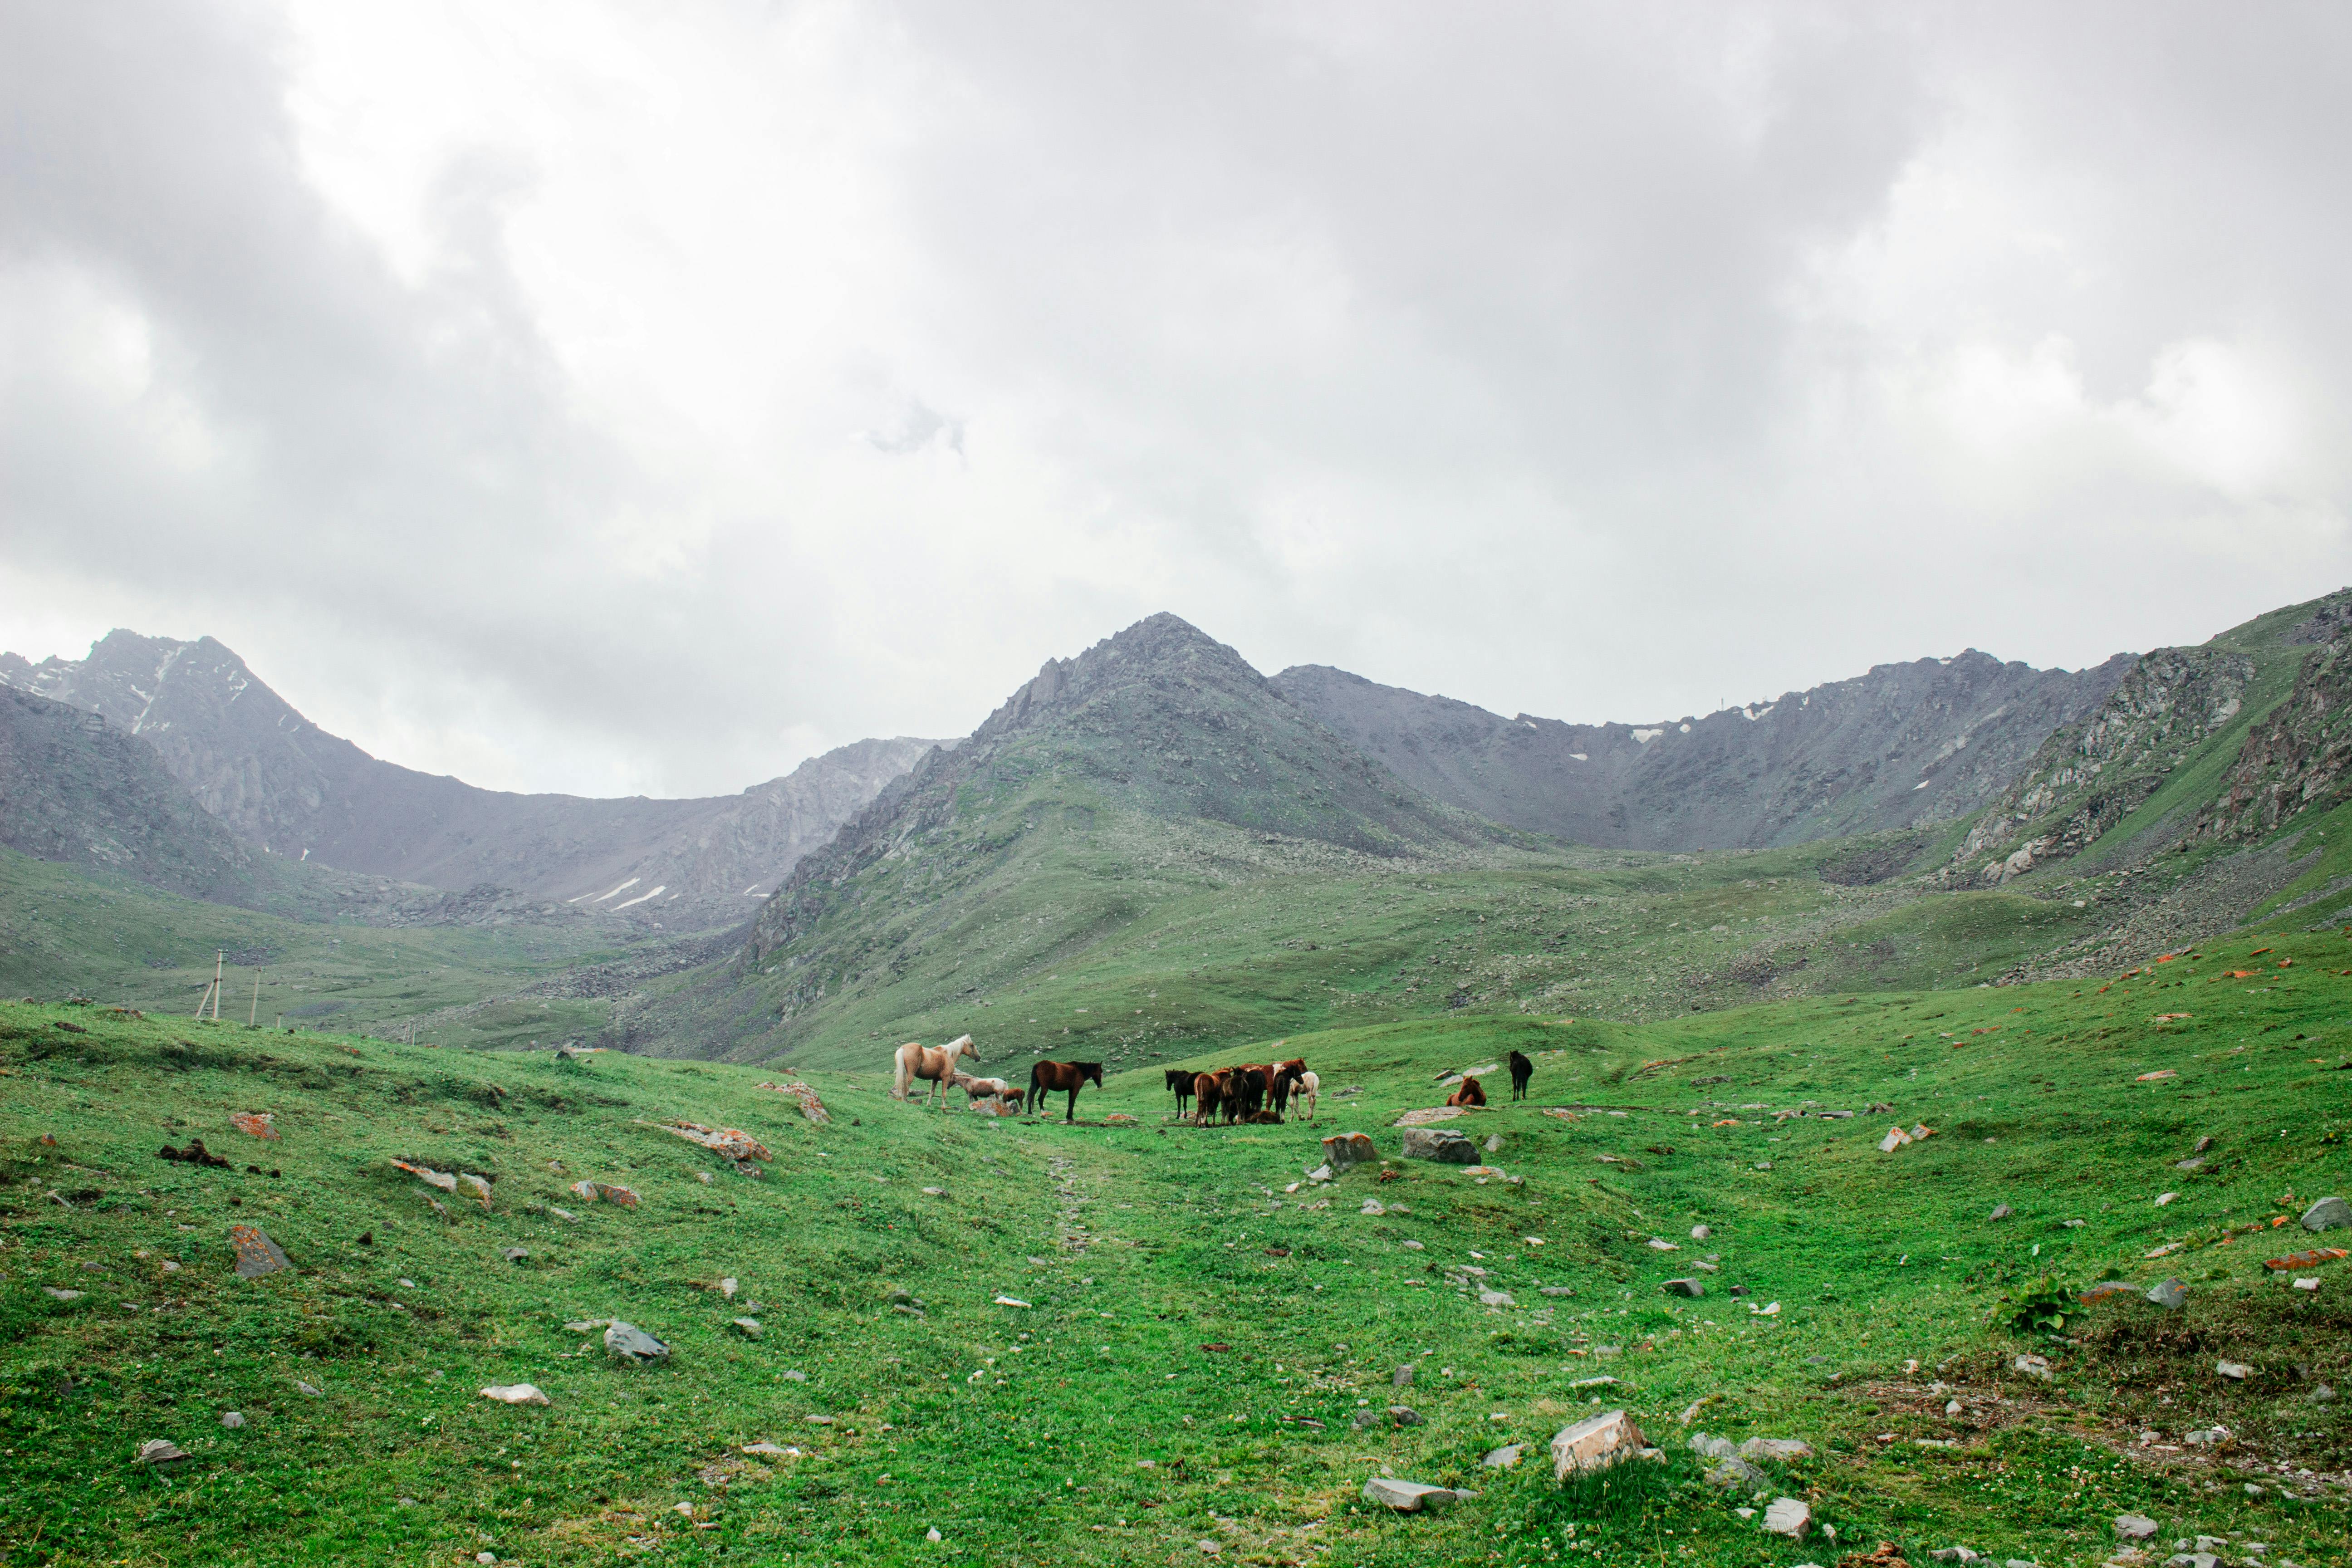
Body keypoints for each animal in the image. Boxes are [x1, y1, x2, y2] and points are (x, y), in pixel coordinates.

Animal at [893, 1035, 979, 1108]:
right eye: (972, 1045)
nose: (979, 1058)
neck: (949, 1055)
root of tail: (903, 1048)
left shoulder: (935, 1079)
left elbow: (932, 1093)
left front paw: (929, 1105)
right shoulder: (946, 1078)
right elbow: (944, 1094)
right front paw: (944, 1107)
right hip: (911, 1075)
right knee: (906, 1086)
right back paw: (905, 1101)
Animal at [1028, 1060, 1104, 1123]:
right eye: (1101, 1071)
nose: (1100, 1085)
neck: (1080, 1070)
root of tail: (1038, 1065)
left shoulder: (1070, 1090)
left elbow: (1070, 1102)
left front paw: (1069, 1117)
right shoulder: (1076, 1089)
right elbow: (1072, 1103)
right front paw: (1071, 1118)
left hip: (1037, 1086)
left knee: (1031, 1097)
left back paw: (1030, 1113)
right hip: (1045, 1088)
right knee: (1040, 1099)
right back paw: (1044, 1115)